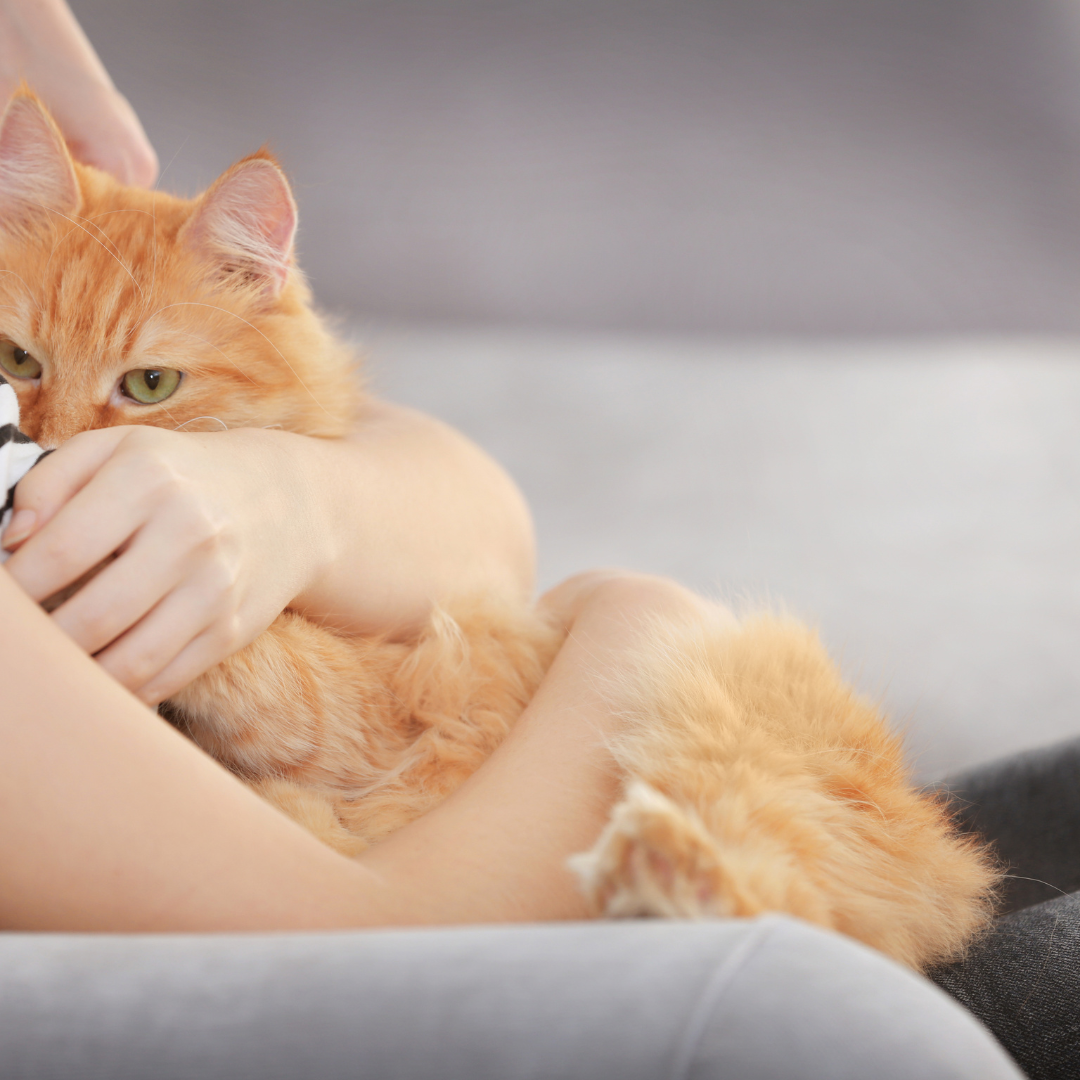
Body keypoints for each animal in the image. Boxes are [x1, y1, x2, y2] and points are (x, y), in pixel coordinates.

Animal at [0, 90, 993, 972]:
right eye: (17, 360)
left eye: (150, 385)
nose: (47, 449)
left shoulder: (412, 703)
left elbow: (279, 665)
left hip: (717, 720)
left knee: (795, 919)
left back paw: (662, 873)